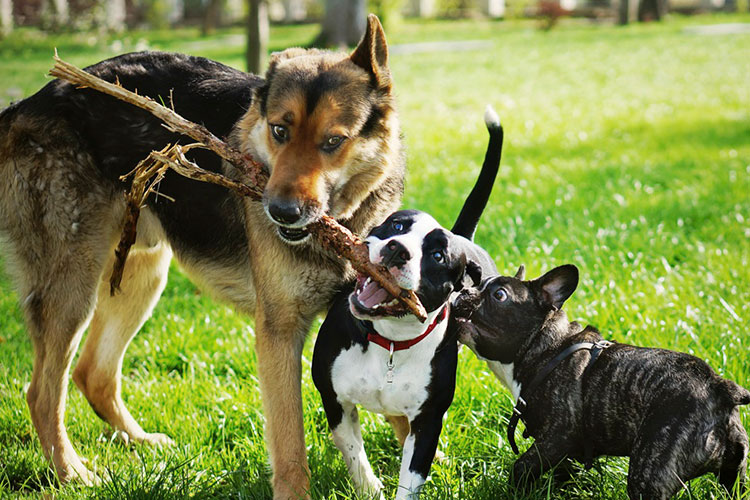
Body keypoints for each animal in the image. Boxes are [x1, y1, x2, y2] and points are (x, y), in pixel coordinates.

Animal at [0, 13, 406, 498]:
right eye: (279, 131)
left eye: (333, 142)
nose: (280, 212)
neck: (344, 224)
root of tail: (28, 103)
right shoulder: (278, 333)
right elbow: (290, 442)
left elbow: (401, 413)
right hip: (73, 290)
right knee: (43, 393)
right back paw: (71, 473)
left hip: (141, 274)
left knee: (92, 374)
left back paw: (138, 442)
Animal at [312, 107, 506, 498]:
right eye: (397, 226)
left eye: (437, 256)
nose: (398, 250)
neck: (389, 342)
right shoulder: (335, 401)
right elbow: (353, 452)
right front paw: (370, 489)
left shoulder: (428, 421)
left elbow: (412, 474)